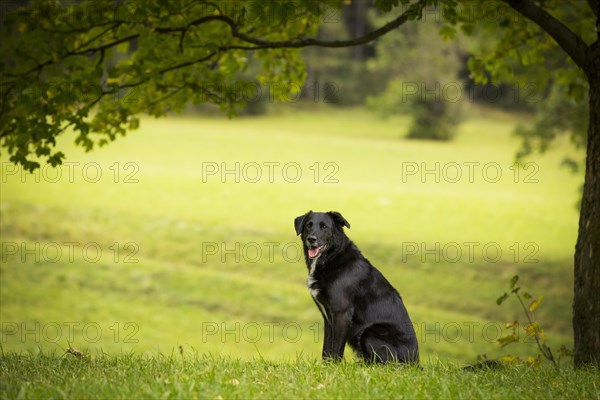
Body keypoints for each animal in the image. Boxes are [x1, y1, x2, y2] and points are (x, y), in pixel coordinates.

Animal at [294, 211, 418, 364]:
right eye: (308, 225)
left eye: (324, 227)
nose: (311, 239)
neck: (332, 258)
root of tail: (415, 361)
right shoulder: (328, 318)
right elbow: (327, 347)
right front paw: (326, 366)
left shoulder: (342, 313)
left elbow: (336, 348)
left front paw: (334, 366)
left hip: (369, 332)